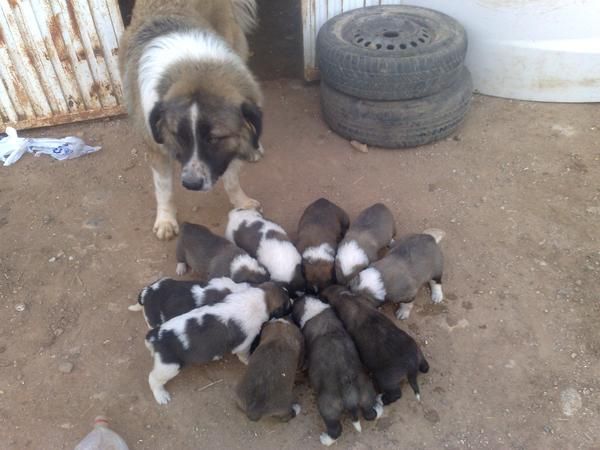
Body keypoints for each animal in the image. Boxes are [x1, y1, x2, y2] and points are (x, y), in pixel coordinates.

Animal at [118, 0, 264, 241]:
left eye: (214, 139)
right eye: (179, 136)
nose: (191, 184)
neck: (194, 66)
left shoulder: (227, 148)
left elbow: (232, 180)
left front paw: (241, 202)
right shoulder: (156, 149)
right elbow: (164, 189)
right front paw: (166, 220)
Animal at [144, 282, 290, 404]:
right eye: (288, 303)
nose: (293, 300)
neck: (258, 299)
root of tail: (156, 336)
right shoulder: (244, 344)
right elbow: (244, 355)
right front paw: (248, 360)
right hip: (170, 367)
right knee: (152, 378)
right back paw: (161, 395)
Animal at [292, 296, 382, 446]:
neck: (315, 309)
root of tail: (350, 394)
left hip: (328, 408)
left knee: (335, 430)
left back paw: (325, 440)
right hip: (367, 395)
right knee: (370, 414)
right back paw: (379, 409)